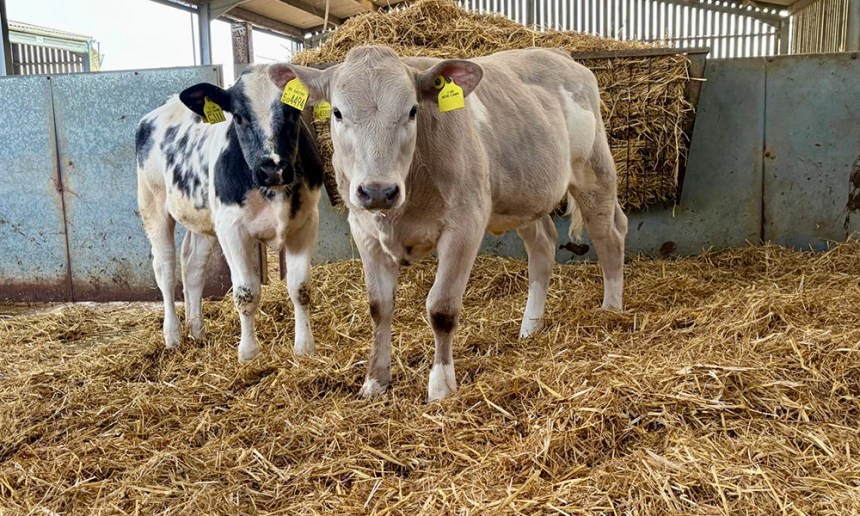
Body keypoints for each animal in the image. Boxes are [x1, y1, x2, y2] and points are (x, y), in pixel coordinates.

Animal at [135, 65, 323, 362]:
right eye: (238, 116)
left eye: (293, 112)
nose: (273, 169)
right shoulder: (233, 229)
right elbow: (246, 292)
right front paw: (248, 353)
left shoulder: (306, 222)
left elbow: (300, 287)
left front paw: (305, 348)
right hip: (153, 204)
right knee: (165, 268)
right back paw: (173, 336)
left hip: (205, 220)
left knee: (192, 265)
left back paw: (197, 330)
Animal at [275, 46, 628, 401]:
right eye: (337, 113)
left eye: (412, 111)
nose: (379, 191)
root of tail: (558, 53)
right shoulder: (364, 231)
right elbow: (379, 306)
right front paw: (375, 381)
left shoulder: (465, 224)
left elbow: (441, 308)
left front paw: (441, 385)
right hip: (523, 196)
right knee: (543, 246)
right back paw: (530, 326)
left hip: (594, 171)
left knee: (610, 235)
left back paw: (611, 310)